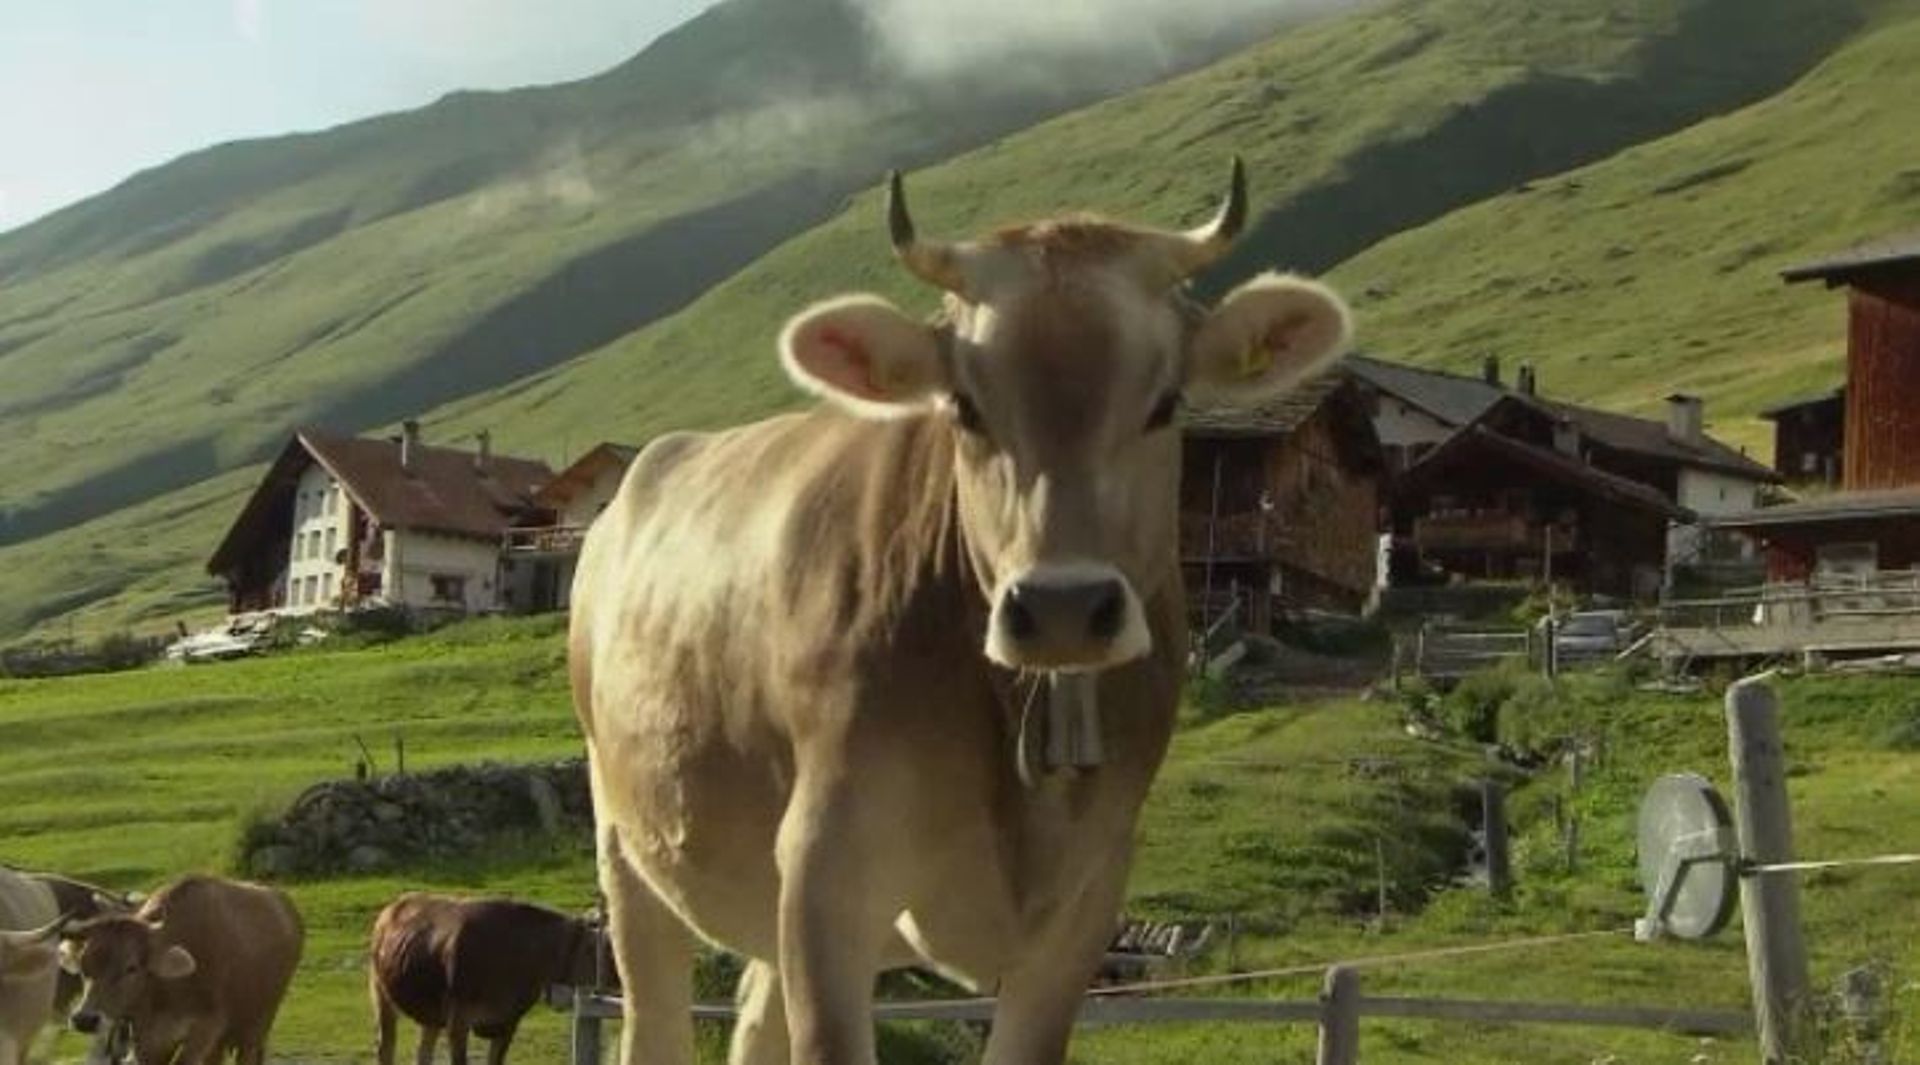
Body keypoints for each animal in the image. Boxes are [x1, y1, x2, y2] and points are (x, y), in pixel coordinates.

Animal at [60, 875, 304, 1065]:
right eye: (83, 965)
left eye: (131, 967)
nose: (84, 1020)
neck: (166, 992)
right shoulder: (149, 1039)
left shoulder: (206, 1029)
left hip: (257, 1024)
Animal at [367, 892, 614, 1065]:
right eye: (609, 949)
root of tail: (392, 907)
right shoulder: (458, 1021)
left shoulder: (508, 1022)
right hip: (381, 993)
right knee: (385, 1048)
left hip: (431, 1011)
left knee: (423, 1053)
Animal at [569, 158, 1353, 1065]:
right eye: (966, 407)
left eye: (1165, 403)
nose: (1061, 605)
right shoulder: (826, 869)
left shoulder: (1084, 903)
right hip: (628, 845)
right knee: (654, 1014)